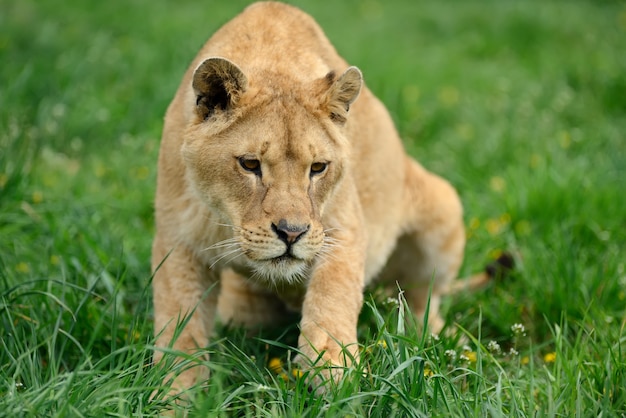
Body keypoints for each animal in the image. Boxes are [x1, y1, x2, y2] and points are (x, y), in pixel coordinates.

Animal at [150, 1, 508, 396]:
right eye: (250, 164)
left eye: (318, 167)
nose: (291, 233)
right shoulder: (177, 241)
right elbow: (179, 329)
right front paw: (173, 395)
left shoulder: (343, 229)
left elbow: (332, 299)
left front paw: (335, 378)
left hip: (442, 208)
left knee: (420, 302)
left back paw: (442, 343)